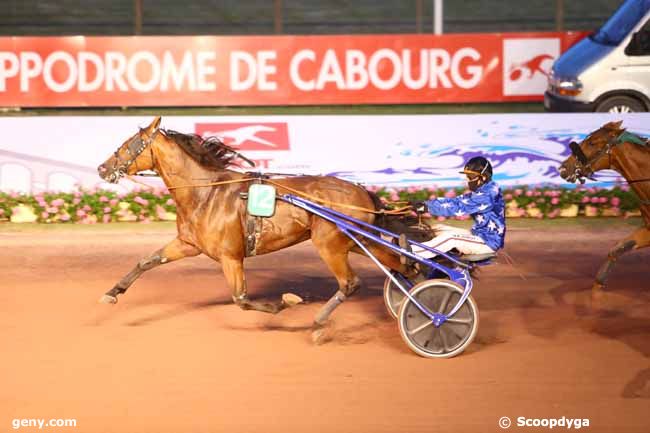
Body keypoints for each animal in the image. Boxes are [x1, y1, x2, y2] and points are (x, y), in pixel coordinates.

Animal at [95, 116, 416, 332]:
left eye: (128, 146)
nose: (102, 168)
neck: (205, 192)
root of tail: (362, 191)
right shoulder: (188, 244)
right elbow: (146, 262)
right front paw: (112, 293)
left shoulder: (230, 257)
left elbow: (241, 299)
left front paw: (287, 302)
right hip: (357, 240)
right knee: (399, 265)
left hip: (330, 243)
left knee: (351, 282)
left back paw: (319, 322)